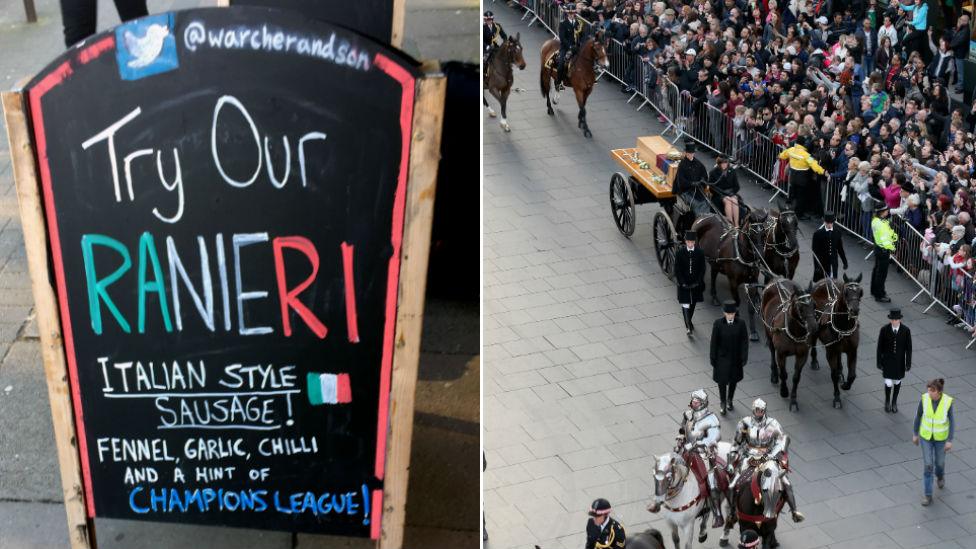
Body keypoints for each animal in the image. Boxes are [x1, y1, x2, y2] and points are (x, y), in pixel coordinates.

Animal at [692, 212, 764, 340]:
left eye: (764, 233)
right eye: (752, 234)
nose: (760, 255)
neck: (742, 255)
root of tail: (704, 215)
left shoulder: (753, 282)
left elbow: (751, 308)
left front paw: (753, 331)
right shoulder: (733, 282)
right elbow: (737, 302)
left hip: (715, 261)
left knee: (713, 274)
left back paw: (714, 296)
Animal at [760, 278, 820, 412]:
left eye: (814, 305)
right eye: (800, 307)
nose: (814, 327)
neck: (794, 332)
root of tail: (777, 279)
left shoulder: (802, 355)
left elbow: (796, 377)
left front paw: (793, 401)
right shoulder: (781, 354)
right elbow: (784, 373)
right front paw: (784, 391)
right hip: (767, 329)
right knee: (772, 351)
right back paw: (774, 374)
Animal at [808, 274, 860, 406]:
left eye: (860, 292)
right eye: (846, 292)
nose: (854, 310)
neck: (843, 326)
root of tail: (826, 278)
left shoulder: (852, 351)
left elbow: (852, 375)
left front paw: (846, 385)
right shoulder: (830, 352)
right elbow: (834, 374)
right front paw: (837, 397)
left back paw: (841, 369)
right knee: (813, 341)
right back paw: (814, 361)